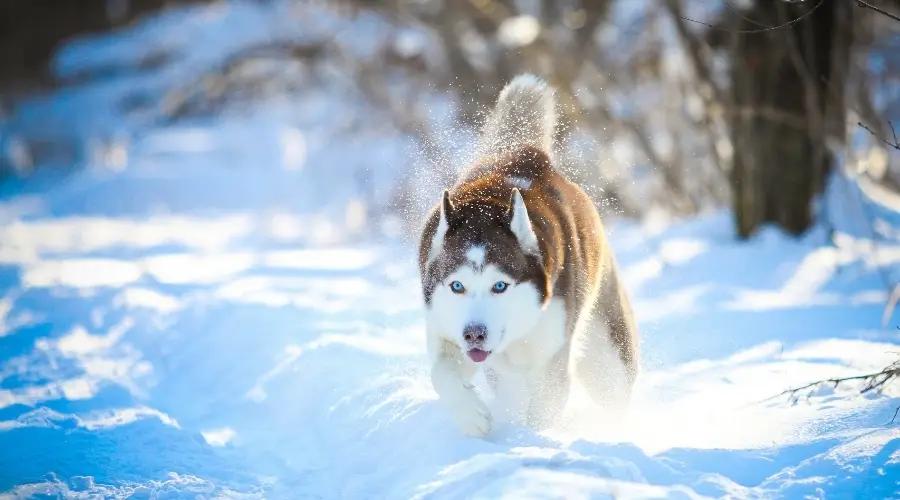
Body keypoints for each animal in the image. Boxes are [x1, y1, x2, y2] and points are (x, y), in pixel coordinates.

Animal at [418, 74, 636, 438]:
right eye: (457, 286)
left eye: (500, 286)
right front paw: (471, 415)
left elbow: (545, 405)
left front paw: (530, 440)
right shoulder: (446, 329)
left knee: (616, 395)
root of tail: (526, 154)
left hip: (606, 357)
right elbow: (441, 374)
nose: (474, 333)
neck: (486, 207)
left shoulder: (552, 354)